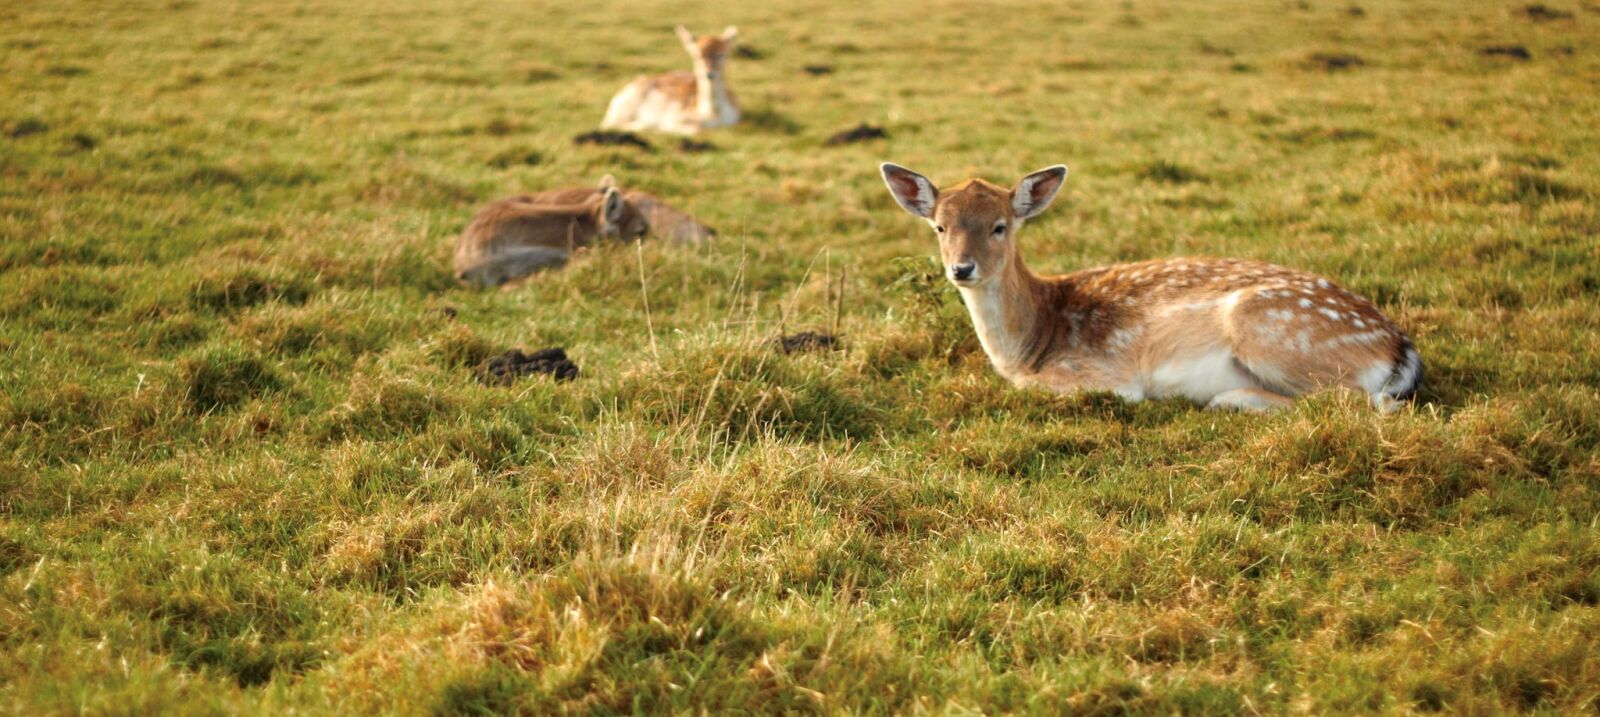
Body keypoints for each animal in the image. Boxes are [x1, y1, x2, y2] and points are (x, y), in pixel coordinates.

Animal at [601, 26, 741, 135]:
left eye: (722, 54)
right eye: (696, 55)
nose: (709, 74)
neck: (712, 115)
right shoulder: (676, 116)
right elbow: (693, 129)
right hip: (624, 107)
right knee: (608, 124)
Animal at [878, 162, 1424, 411]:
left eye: (1000, 226)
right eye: (939, 227)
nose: (962, 269)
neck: (1030, 345)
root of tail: (1400, 349)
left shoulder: (1102, 373)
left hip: (1273, 330)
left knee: (1364, 403)